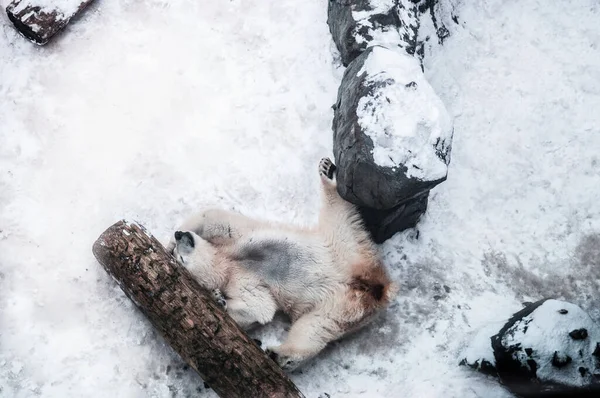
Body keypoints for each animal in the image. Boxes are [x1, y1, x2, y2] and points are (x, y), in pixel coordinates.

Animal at [168, 158, 398, 370]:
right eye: (181, 259)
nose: (179, 236)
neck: (231, 261)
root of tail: (375, 288)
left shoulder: (241, 240)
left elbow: (215, 218)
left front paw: (169, 242)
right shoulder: (243, 281)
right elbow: (260, 308)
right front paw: (218, 298)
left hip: (341, 249)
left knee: (339, 214)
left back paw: (328, 173)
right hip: (339, 307)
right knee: (312, 329)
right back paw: (280, 355)